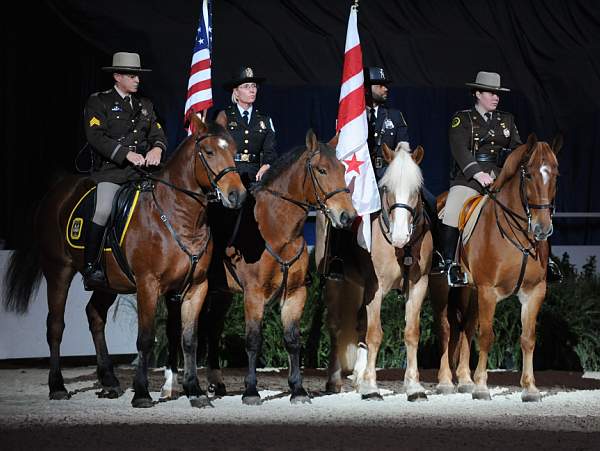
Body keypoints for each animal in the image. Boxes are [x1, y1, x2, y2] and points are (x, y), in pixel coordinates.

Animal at [2, 114, 246, 410]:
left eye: (234, 151)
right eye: (209, 152)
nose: (237, 195)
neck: (179, 215)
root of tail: (56, 190)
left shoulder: (196, 287)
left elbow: (189, 340)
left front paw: (195, 391)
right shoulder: (148, 285)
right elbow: (145, 338)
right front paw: (141, 393)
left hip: (108, 282)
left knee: (95, 316)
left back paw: (109, 381)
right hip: (58, 271)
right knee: (55, 326)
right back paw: (57, 386)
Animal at [162, 131, 356, 406]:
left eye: (342, 168)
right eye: (321, 170)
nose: (347, 216)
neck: (275, 229)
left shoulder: (295, 293)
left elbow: (292, 341)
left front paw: (298, 390)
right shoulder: (254, 295)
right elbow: (253, 340)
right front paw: (251, 391)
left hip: (218, 293)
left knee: (212, 328)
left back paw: (216, 383)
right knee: (174, 329)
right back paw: (168, 386)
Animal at [316, 143, 434, 400]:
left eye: (416, 189)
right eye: (387, 188)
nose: (400, 236)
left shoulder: (418, 286)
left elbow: (411, 333)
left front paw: (414, 386)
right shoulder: (376, 288)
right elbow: (375, 334)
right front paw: (371, 386)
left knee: (359, 323)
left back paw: (358, 376)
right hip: (336, 283)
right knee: (336, 326)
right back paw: (334, 380)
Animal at [428, 134, 560, 402]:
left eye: (556, 174)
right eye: (529, 175)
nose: (542, 229)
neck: (520, 236)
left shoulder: (535, 292)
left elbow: (528, 338)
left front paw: (530, 388)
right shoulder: (489, 290)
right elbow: (487, 336)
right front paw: (481, 387)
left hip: (470, 290)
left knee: (466, 327)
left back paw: (464, 380)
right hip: (442, 287)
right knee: (445, 328)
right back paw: (446, 381)